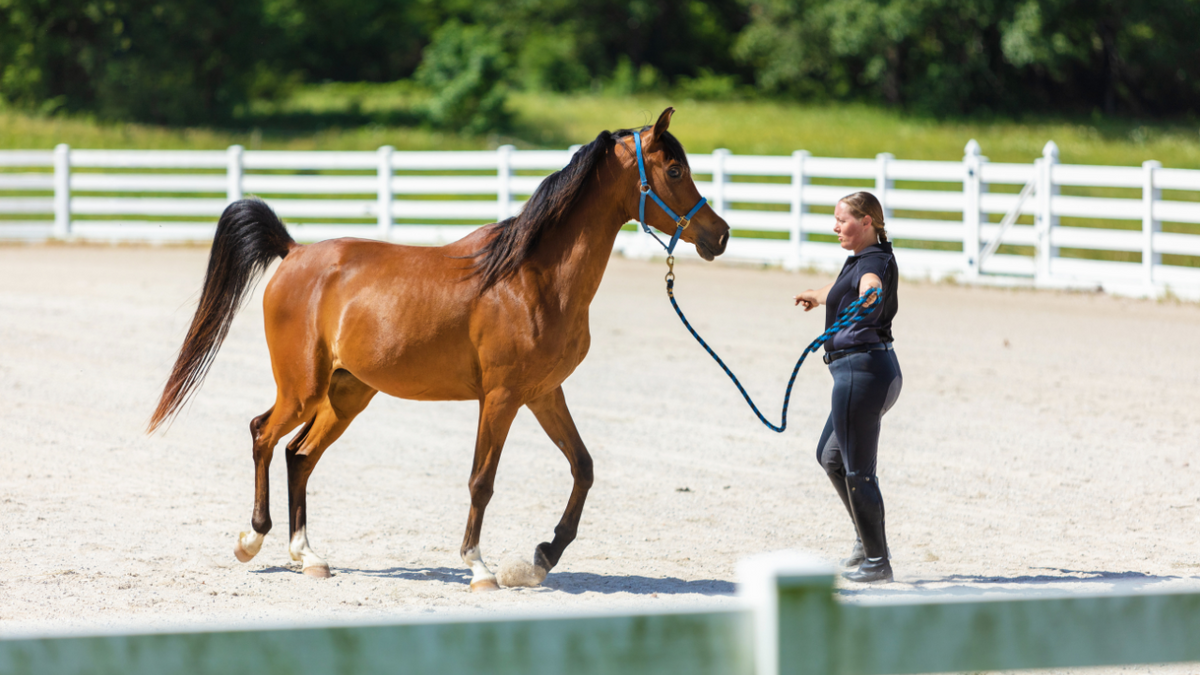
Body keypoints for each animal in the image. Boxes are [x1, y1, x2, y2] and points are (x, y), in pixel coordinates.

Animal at [148, 108, 730, 591]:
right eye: (673, 171)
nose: (719, 235)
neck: (532, 278)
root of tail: (293, 253)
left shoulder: (543, 393)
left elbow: (583, 468)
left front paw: (541, 557)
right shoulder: (500, 398)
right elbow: (482, 481)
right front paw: (479, 567)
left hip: (345, 395)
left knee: (299, 455)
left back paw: (308, 556)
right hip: (302, 388)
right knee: (263, 434)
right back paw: (252, 540)